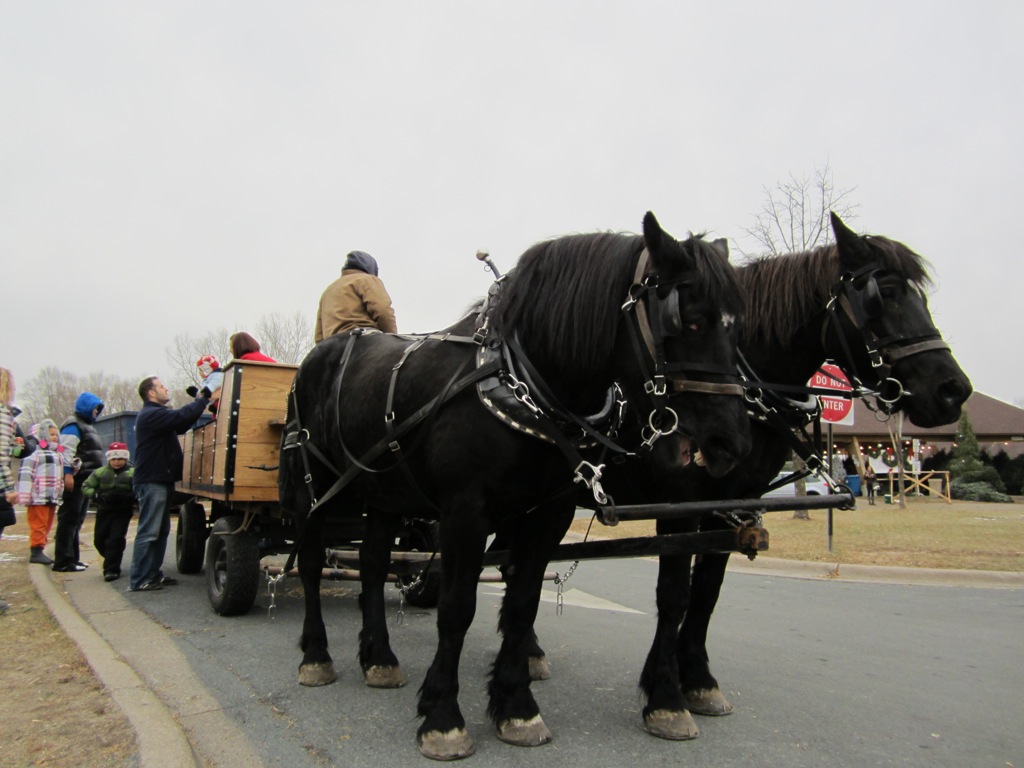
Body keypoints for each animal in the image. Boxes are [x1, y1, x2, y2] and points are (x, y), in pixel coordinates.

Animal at [280, 211, 753, 765]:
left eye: (738, 327)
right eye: (690, 319)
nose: (731, 443)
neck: (516, 380)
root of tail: (319, 356)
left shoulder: (547, 515)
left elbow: (523, 602)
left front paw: (516, 706)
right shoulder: (464, 514)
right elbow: (457, 607)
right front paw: (443, 716)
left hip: (383, 493)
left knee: (374, 566)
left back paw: (379, 657)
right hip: (316, 489)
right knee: (313, 563)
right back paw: (316, 655)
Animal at [528, 214, 974, 741]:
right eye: (884, 294)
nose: (954, 391)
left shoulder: (736, 504)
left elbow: (708, 593)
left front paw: (699, 681)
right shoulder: (682, 505)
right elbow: (675, 595)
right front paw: (665, 697)